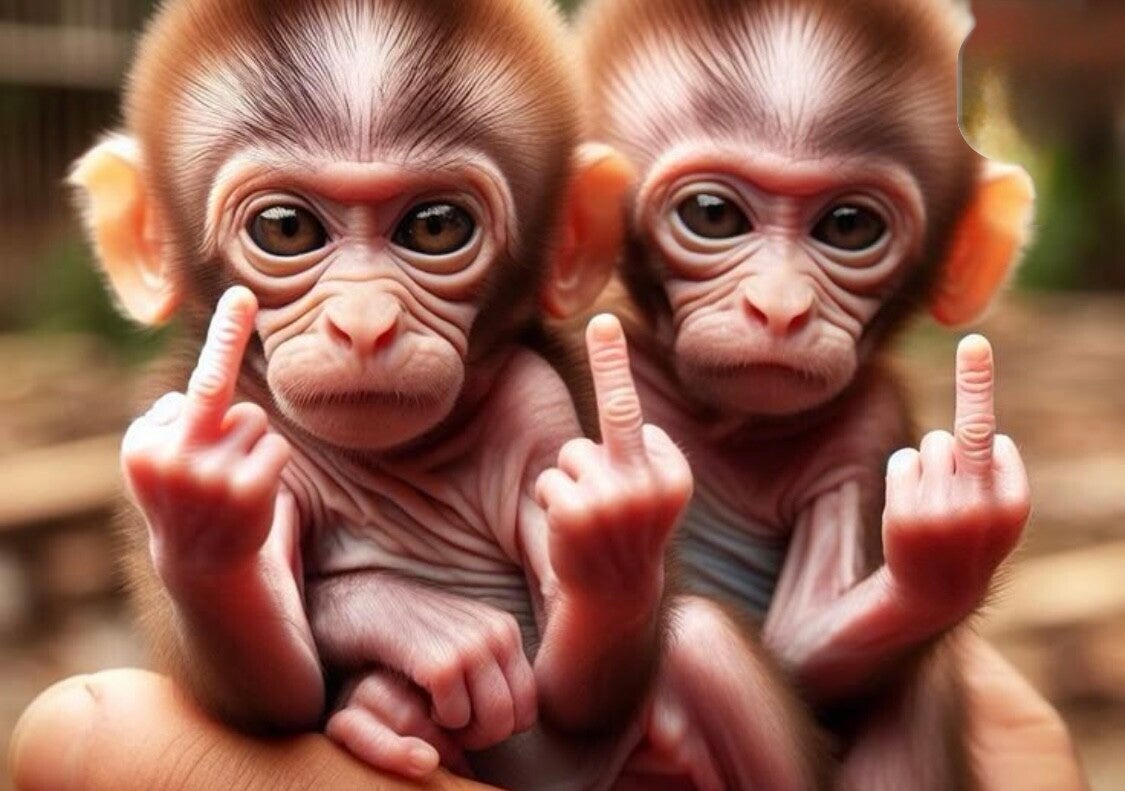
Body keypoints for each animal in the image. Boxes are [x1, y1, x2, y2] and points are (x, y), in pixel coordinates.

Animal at [67, 1, 705, 787]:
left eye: (435, 227)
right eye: (286, 229)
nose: (365, 323)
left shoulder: (539, 403)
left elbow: (581, 696)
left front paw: (618, 505)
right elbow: (276, 692)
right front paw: (202, 491)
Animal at [576, 0, 1036, 787]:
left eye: (849, 226)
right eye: (713, 215)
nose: (779, 308)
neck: (727, 422)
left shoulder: (869, 422)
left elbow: (804, 652)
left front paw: (950, 532)